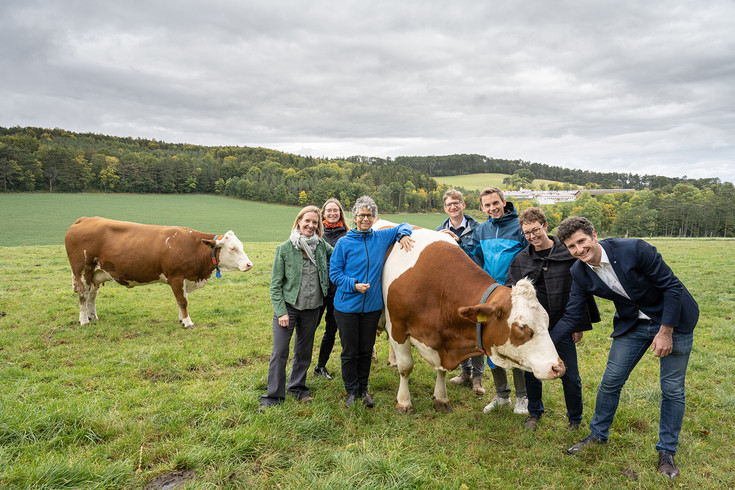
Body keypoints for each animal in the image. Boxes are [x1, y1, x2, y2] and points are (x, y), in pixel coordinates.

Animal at [64, 216, 253, 328]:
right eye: (233, 248)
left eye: (241, 246)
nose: (249, 264)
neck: (192, 247)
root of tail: (85, 219)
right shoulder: (176, 277)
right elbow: (183, 301)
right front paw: (187, 322)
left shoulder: (184, 279)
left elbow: (182, 299)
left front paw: (181, 319)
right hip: (82, 270)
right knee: (83, 295)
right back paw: (84, 320)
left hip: (94, 274)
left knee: (92, 295)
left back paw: (93, 316)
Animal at [376, 223, 568, 414]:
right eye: (521, 326)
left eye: (547, 321)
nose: (558, 367)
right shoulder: (398, 327)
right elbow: (406, 367)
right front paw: (404, 402)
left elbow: (441, 371)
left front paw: (441, 399)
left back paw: (392, 361)